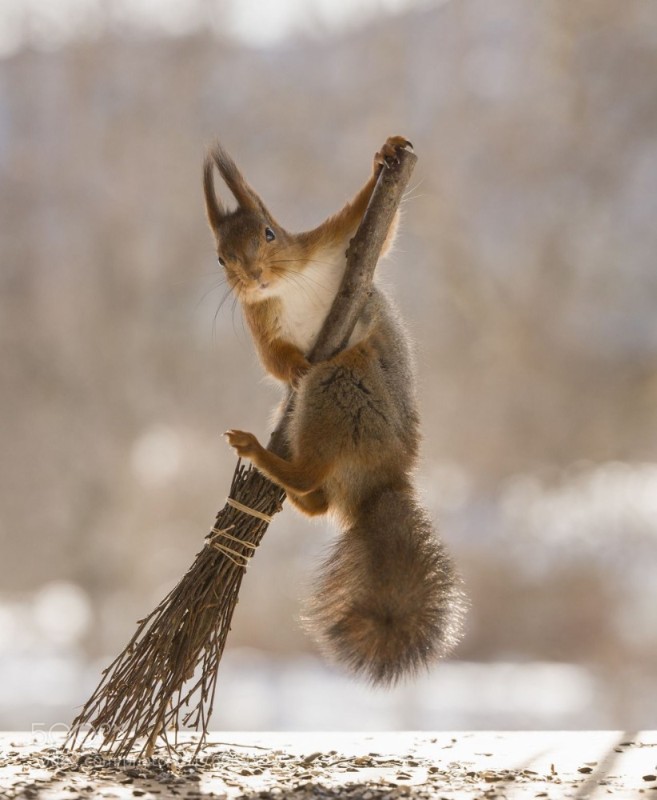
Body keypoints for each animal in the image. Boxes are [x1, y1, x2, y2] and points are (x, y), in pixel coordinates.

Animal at [202, 134, 464, 684]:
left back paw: (258, 451)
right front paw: (292, 366)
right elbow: (273, 361)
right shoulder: (258, 321)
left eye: (270, 233)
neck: (282, 286)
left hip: (341, 382)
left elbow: (372, 231)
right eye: (219, 258)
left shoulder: (334, 250)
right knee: (316, 495)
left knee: (310, 471)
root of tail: (382, 478)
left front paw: (386, 154)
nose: (253, 276)